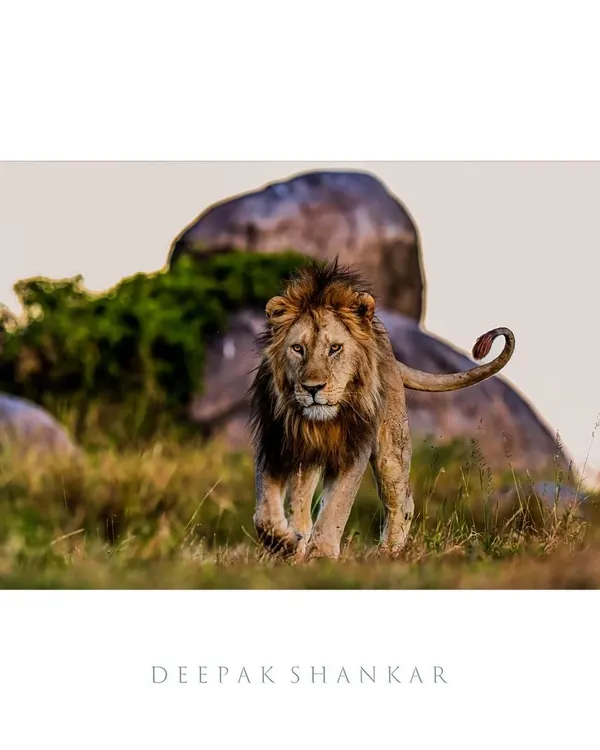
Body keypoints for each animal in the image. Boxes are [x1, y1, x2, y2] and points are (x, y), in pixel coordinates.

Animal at [249, 261, 514, 560]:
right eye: (297, 348)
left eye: (335, 348)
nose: (313, 388)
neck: (319, 424)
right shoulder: (274, 443)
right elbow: (264, 513)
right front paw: (285, 543)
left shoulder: (354, 449)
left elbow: (336, 508)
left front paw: (322, 556)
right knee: (301, 501)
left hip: (392, 450)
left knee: (403, 500)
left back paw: (388, 553)